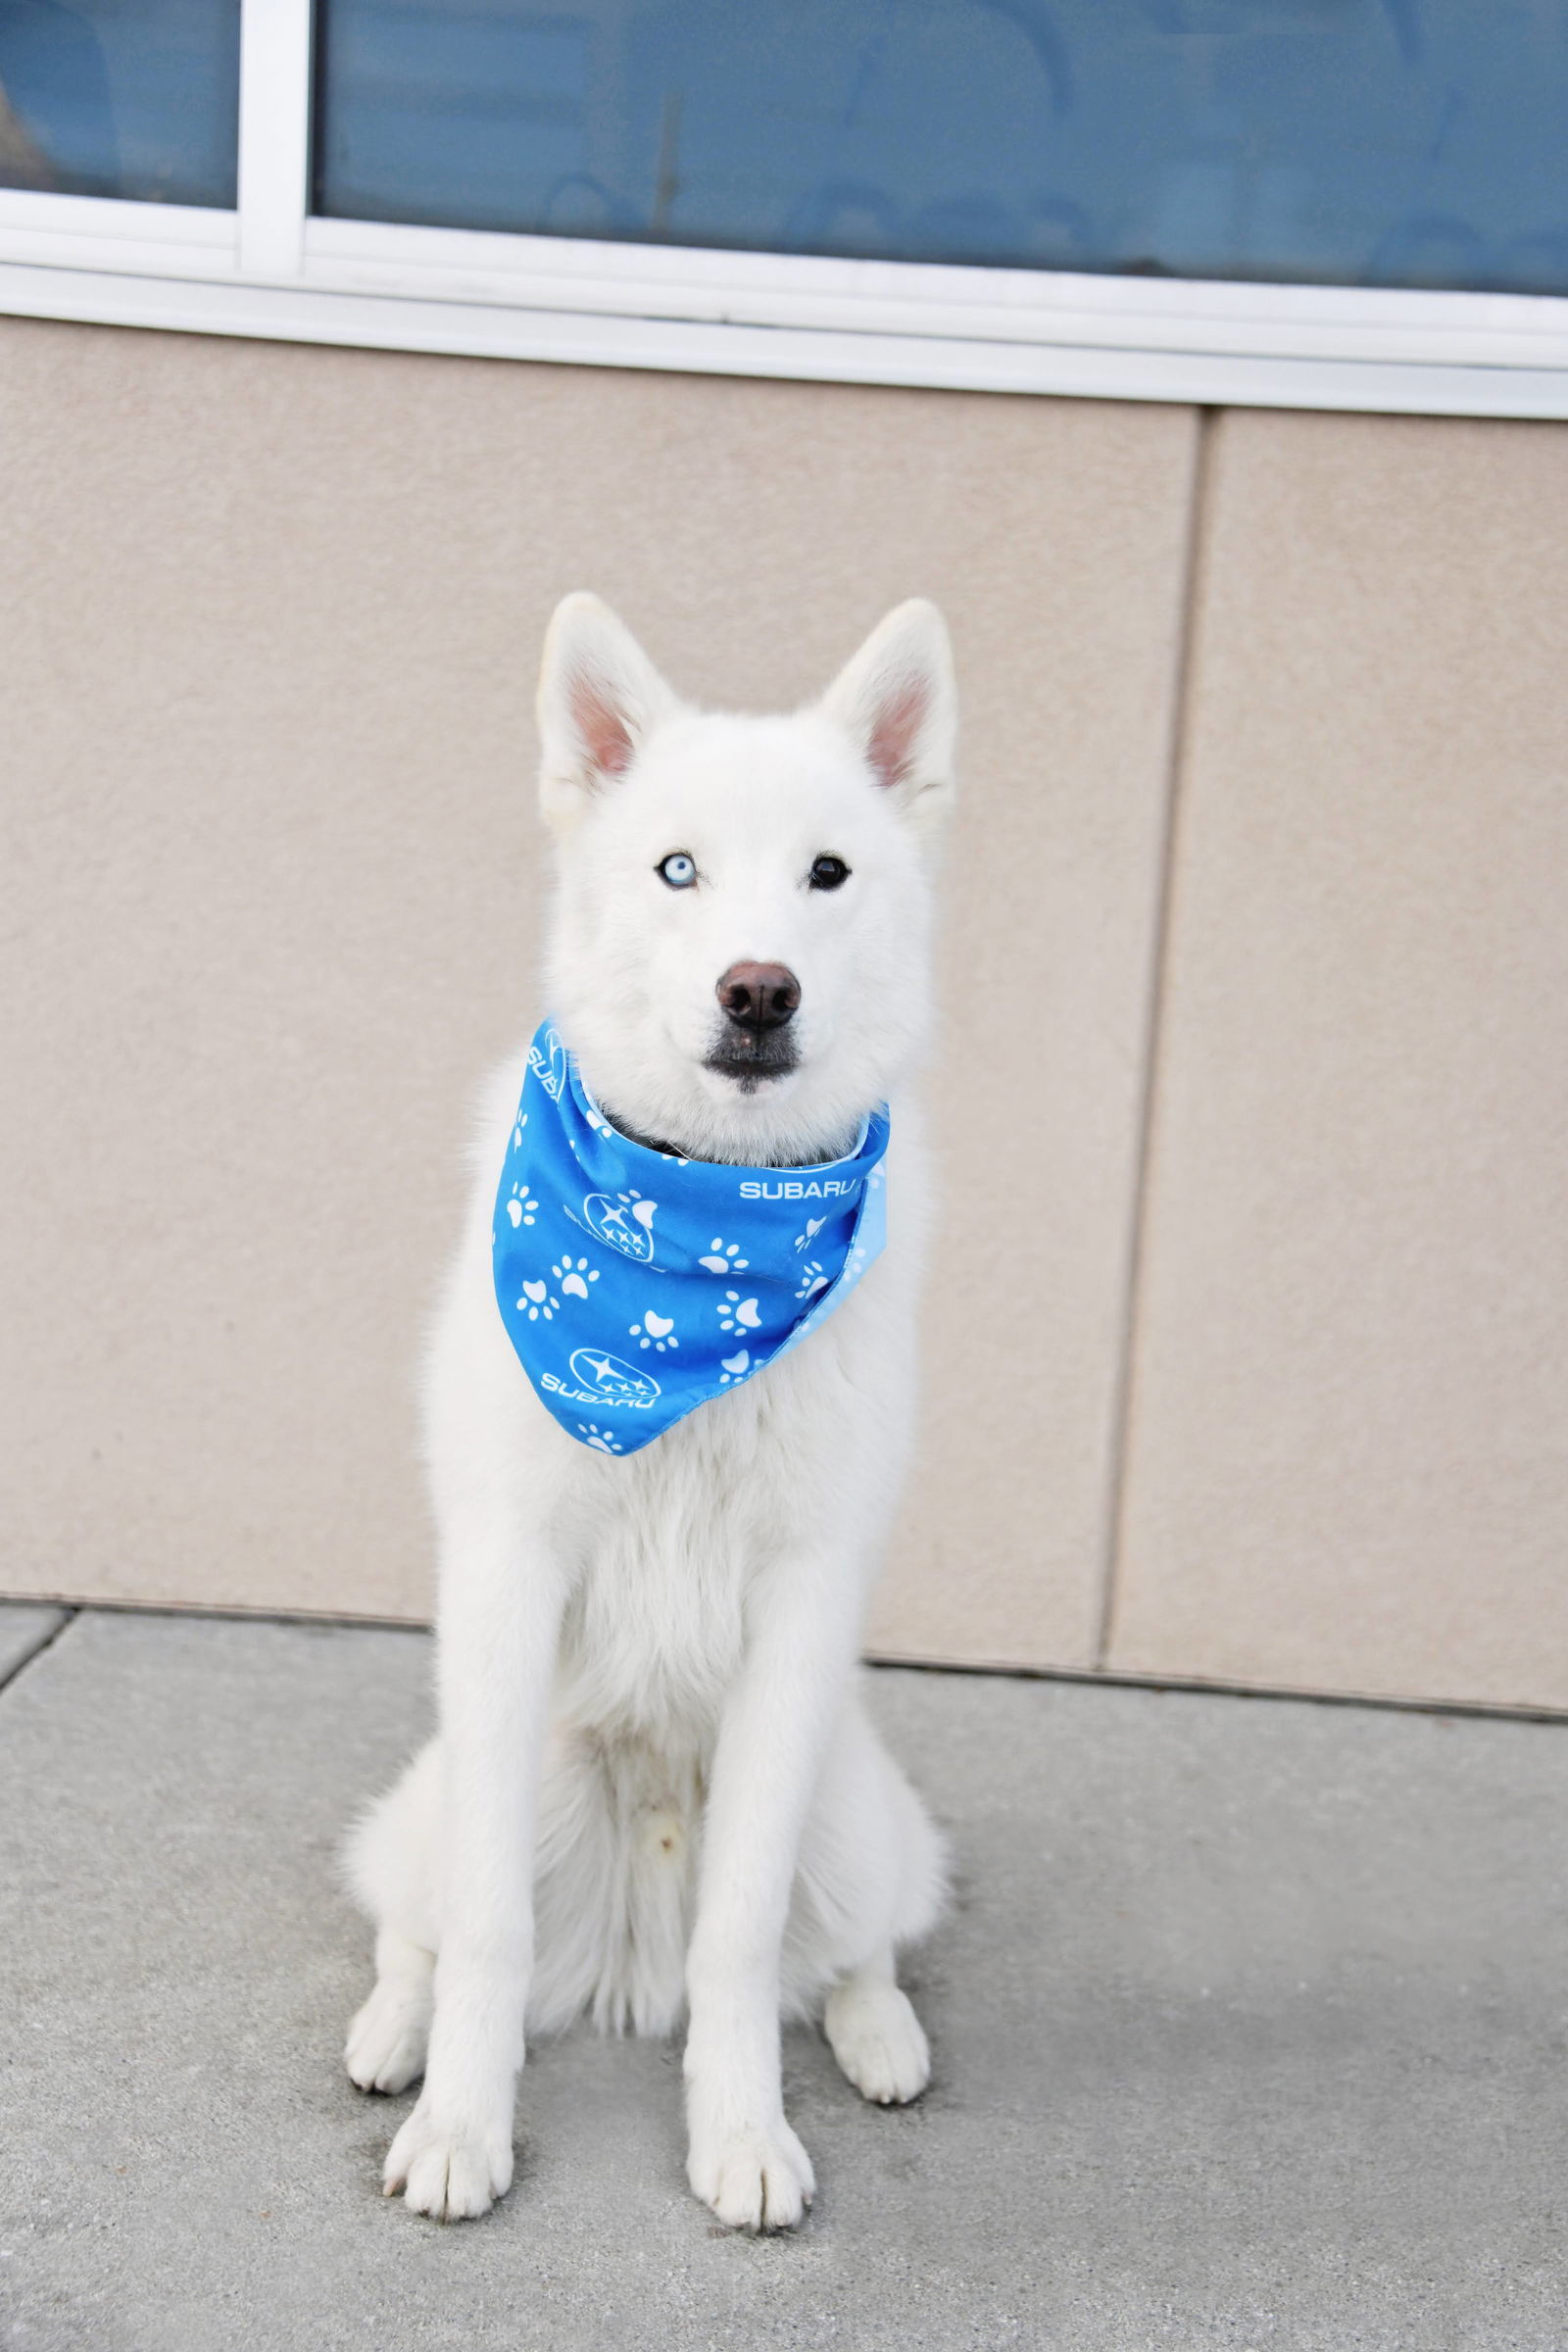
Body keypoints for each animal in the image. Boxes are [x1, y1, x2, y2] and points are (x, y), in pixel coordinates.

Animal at [343, 588, 958, 2220]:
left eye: (828, 873)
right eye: (678, 867)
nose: (759, 989)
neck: (700, 1250)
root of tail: (627, 1965)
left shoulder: (802, 1608)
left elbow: (743, 1938)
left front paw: (741, 2136)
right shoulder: (507, 1581)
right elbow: (487, 1933)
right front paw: (463, 2127)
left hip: (850, 1808)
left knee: (855, 1944)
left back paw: (883, 2037)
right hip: (454, 1785)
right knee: (417, 1922)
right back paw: (391, 2034)